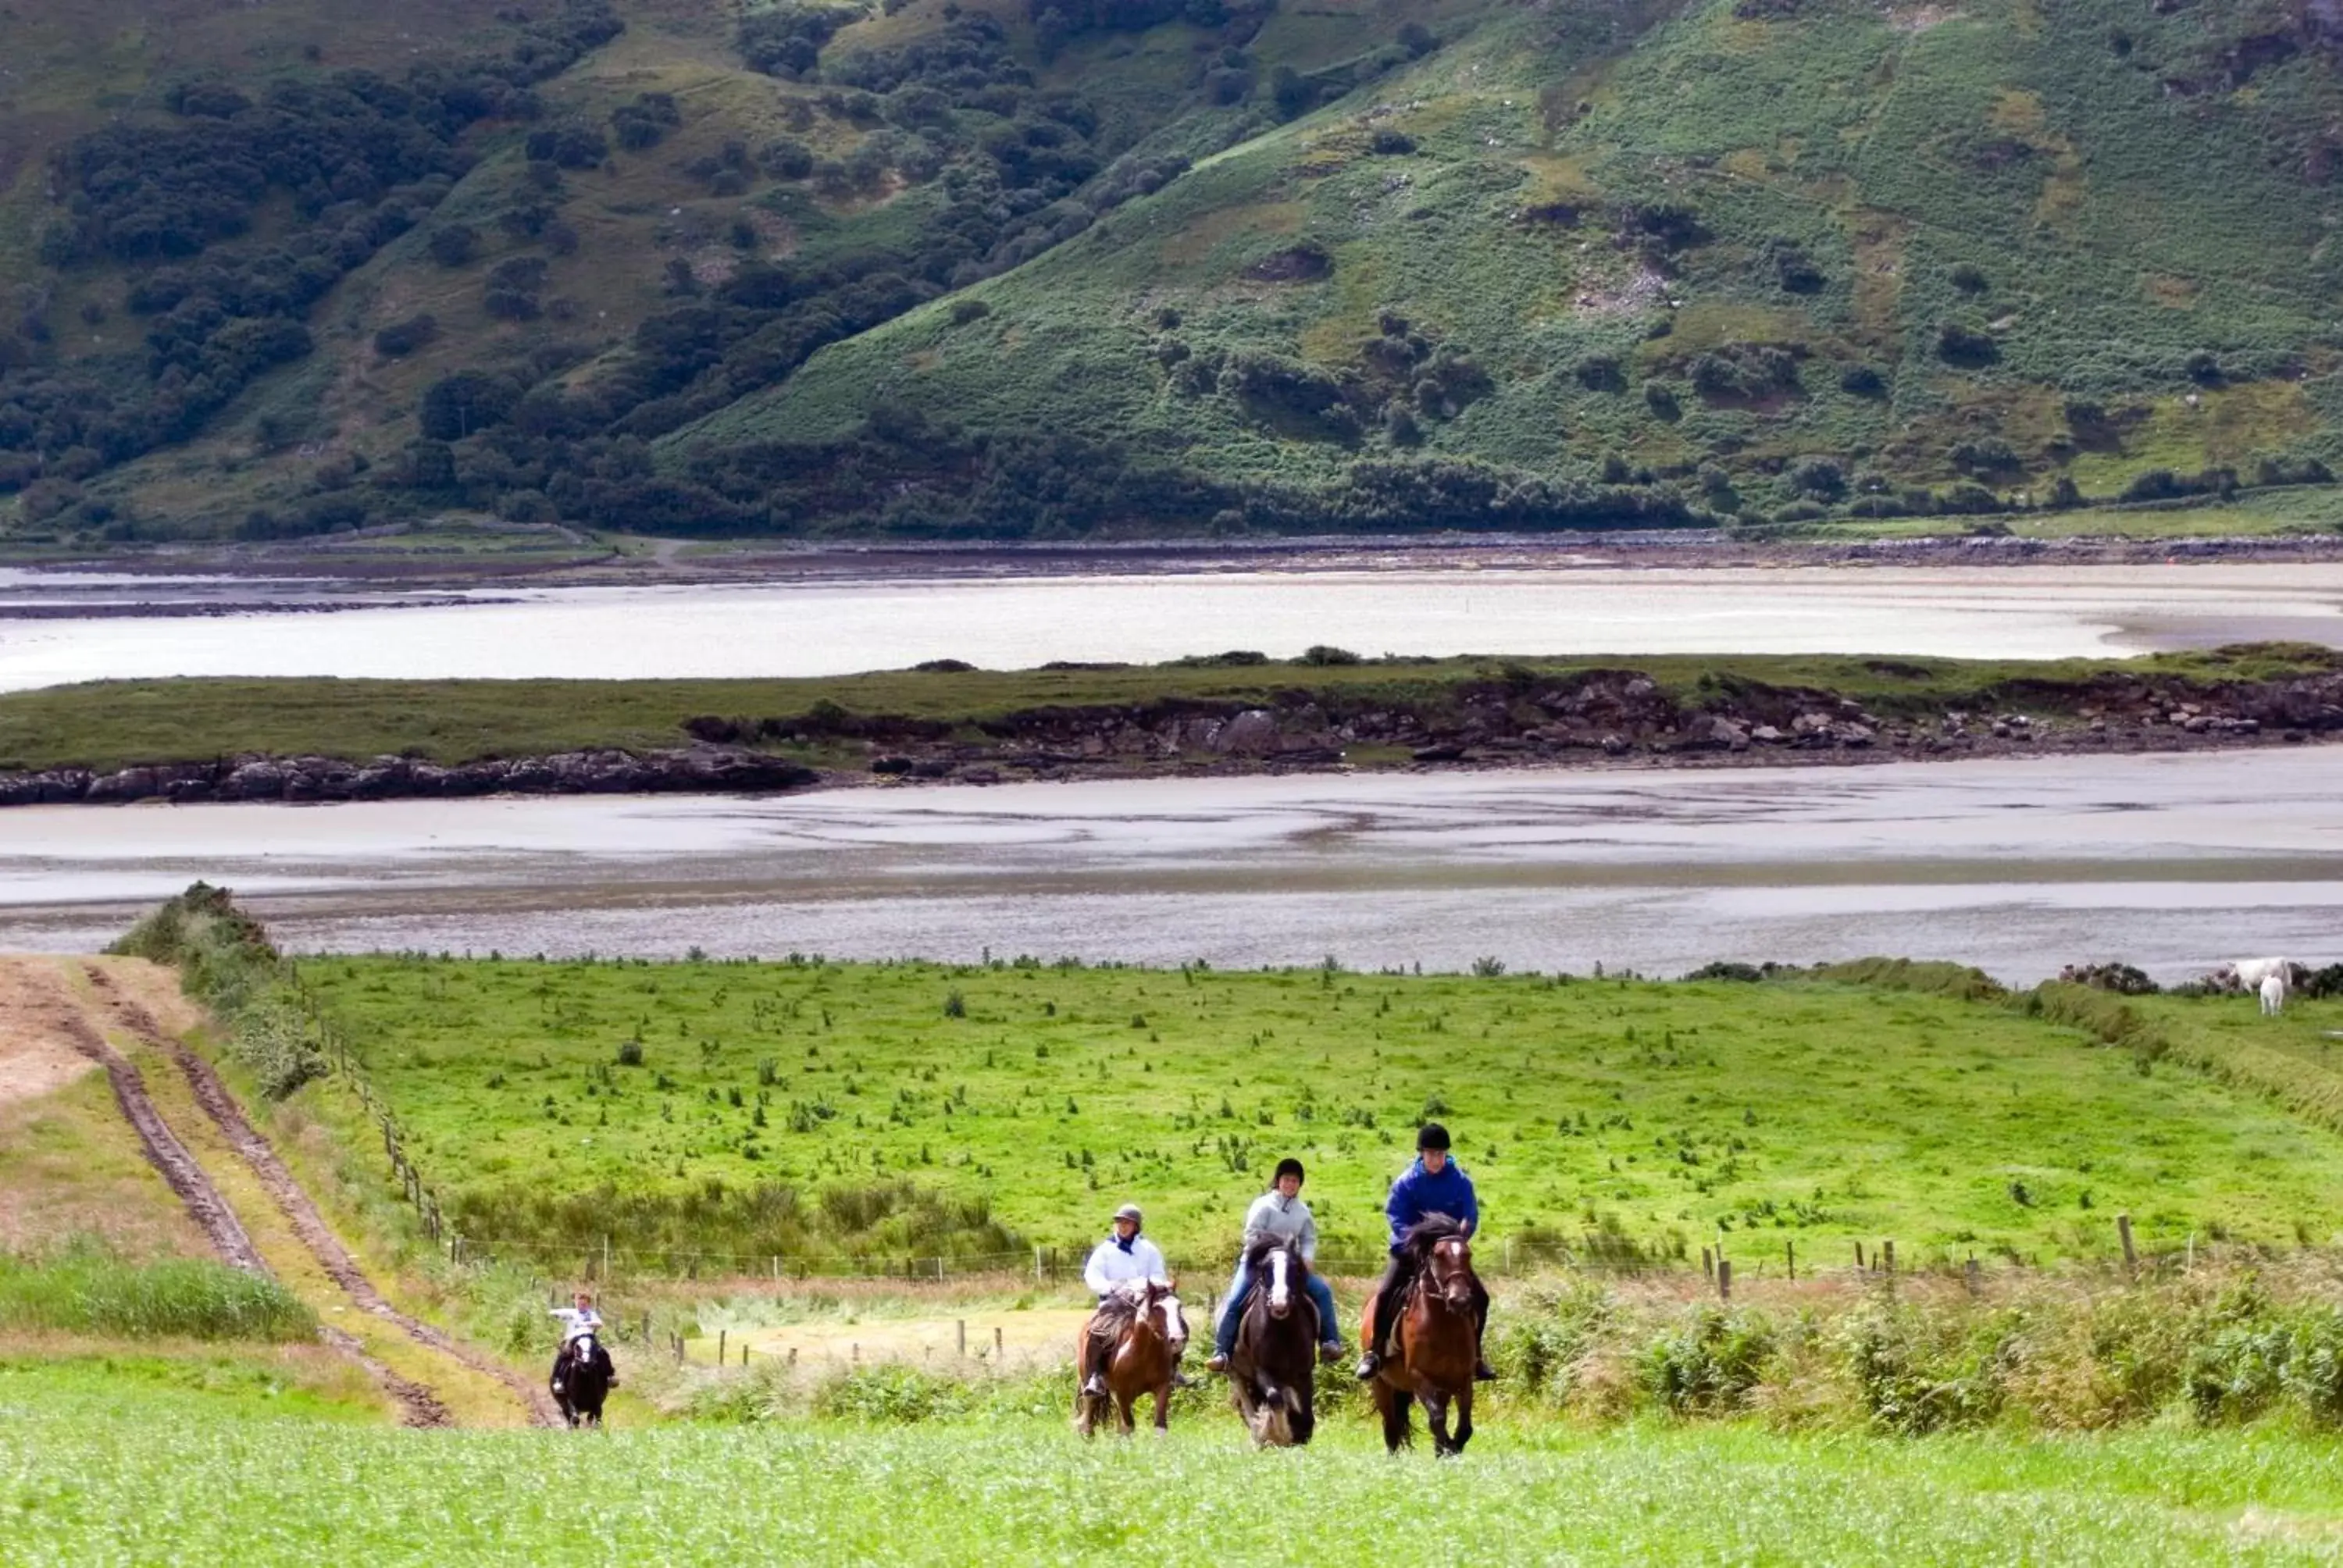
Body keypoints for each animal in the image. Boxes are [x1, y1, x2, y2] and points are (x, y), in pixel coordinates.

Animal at [1078, 1274, 1190, 1434]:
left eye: (1179, 1307)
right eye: (1157, 1308)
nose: (1178, 1339)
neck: (1142, 1356)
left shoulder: (1163, 1388)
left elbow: (1160, 1426)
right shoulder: (1121, 1394)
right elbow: (1129, 1427)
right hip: (1089, 1387)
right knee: (1089, 1421)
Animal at [1228, 1237, 1321, 1443]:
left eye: (1295, 1268)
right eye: (1265, 1269)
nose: (1280, 1305)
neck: (1283, 1331)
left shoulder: (1303, 1373)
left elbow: (1305, 1412)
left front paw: (1300, 1433)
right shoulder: (1262, 1371)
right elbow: (1275, 1399)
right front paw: (1280, 1434)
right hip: (1238, 1374)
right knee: (1248, 1404)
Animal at [1359, 1209, 1481, 1452]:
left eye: (1467, 1254)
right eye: (1438, 1255)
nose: (1460, 1300)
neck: (1444, 1325)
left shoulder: (1463, 1378)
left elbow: (1464, 1427)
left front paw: (1450, 1448)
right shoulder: (1420, 1378)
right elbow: (1437, 1420)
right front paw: (1447, 1449)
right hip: (1381, 1385)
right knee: (1391, 1430)